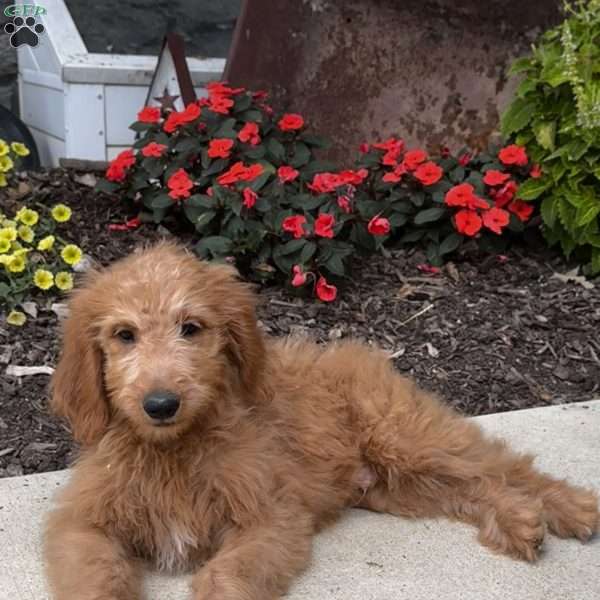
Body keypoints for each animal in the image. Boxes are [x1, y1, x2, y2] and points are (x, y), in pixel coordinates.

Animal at [45, 241, 600, 596]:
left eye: (192, 328)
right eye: (124, 335)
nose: (160, 404)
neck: (173, 451)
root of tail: (365, 355)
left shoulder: (270, 518)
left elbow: (226, 577)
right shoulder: (82, 525)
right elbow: (96, 575)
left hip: (406, 437)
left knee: (506, 467)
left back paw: (572, 508)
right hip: (397, 488)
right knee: (471, 488)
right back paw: (519, 520)